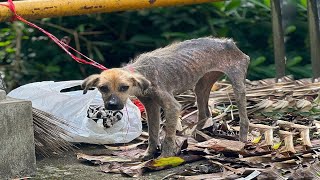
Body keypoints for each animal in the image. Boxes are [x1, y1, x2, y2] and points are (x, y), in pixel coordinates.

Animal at [82, 36, 250, 159]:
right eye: (103, 88)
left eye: (124, 87)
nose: (112, 105)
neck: (141, 71)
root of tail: (230, 43)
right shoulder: (150, 105)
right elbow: (152, 132)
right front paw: (149, 154)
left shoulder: (171, 106)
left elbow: (168, 135)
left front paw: (165, 157)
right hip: (201, 85)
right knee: (204, 114)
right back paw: (198, 138)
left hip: (237, 84)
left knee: (244, 118)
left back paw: (241, 143)